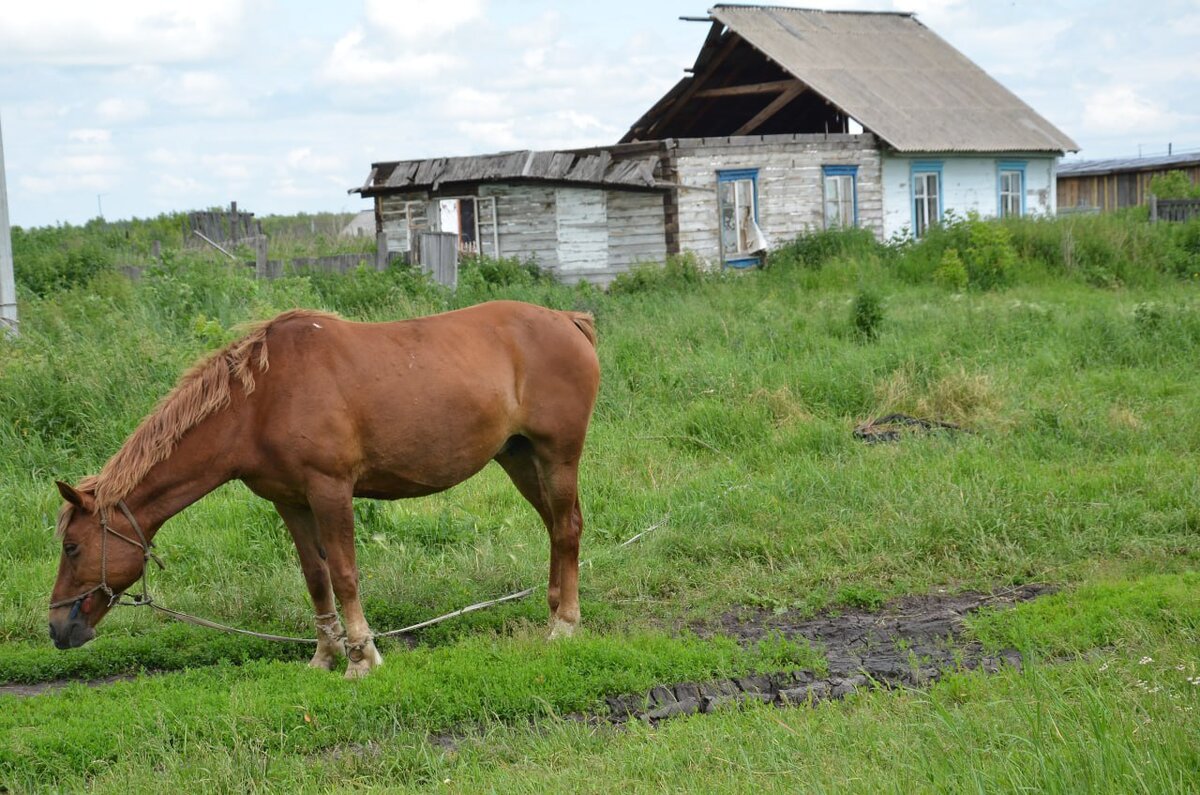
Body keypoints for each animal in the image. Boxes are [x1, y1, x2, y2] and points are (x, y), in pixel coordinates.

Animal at [48, 299, 600, 677]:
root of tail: (566, 319)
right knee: (554, 528)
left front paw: (361, 657)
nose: (57, 629)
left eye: (72, 547)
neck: (259, 403)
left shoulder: (330, 491)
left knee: (567, 527)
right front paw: (325, 654)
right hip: (520, 458)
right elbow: (316, 577)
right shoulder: (290, 501)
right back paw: (553, 611)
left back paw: (566, 625)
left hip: (557, 456)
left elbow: (345, 573)